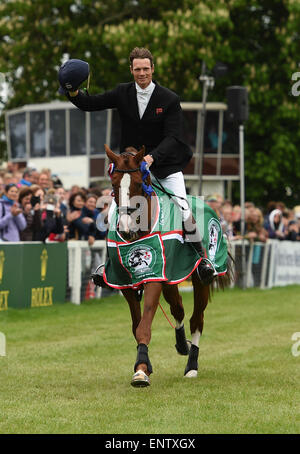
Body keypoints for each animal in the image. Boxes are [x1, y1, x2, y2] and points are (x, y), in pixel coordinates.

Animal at [102, 145, 231, 386]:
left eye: (137, 182)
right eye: (114, 185)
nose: (125, 228)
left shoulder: (154, 277)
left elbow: (144, 325)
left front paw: (141, 371)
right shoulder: (126, 285)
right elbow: (136, 326)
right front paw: (145, 365)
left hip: (200, 280)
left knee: (196, 320)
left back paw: (191, 366)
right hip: (172, 279)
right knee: (177, 308)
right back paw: (181, 344)